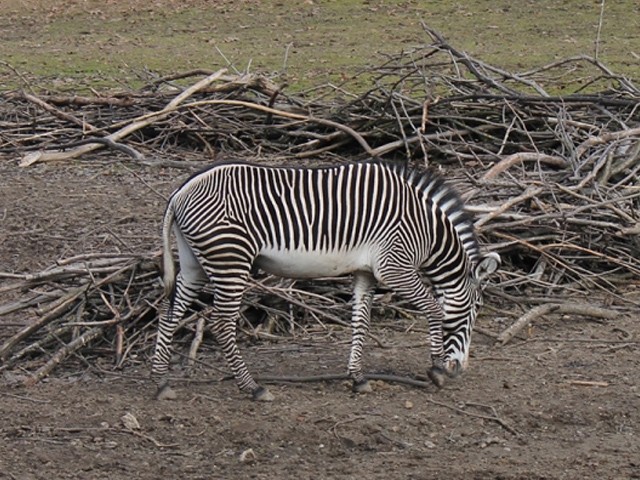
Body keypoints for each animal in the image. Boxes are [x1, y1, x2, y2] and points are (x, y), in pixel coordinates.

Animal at [152, 160, 500, 401]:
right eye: (476, 308)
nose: (461, 369)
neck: (426, 229)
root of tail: (181, 191)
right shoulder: (394, 267)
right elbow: (434, 309)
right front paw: (437, 370)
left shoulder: (366, 271)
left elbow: (361, 322)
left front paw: (357, 377)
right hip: (229, 260)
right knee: (222, 324)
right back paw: (253, 388)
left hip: (194, 263)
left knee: (168, 315)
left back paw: (162, 382)